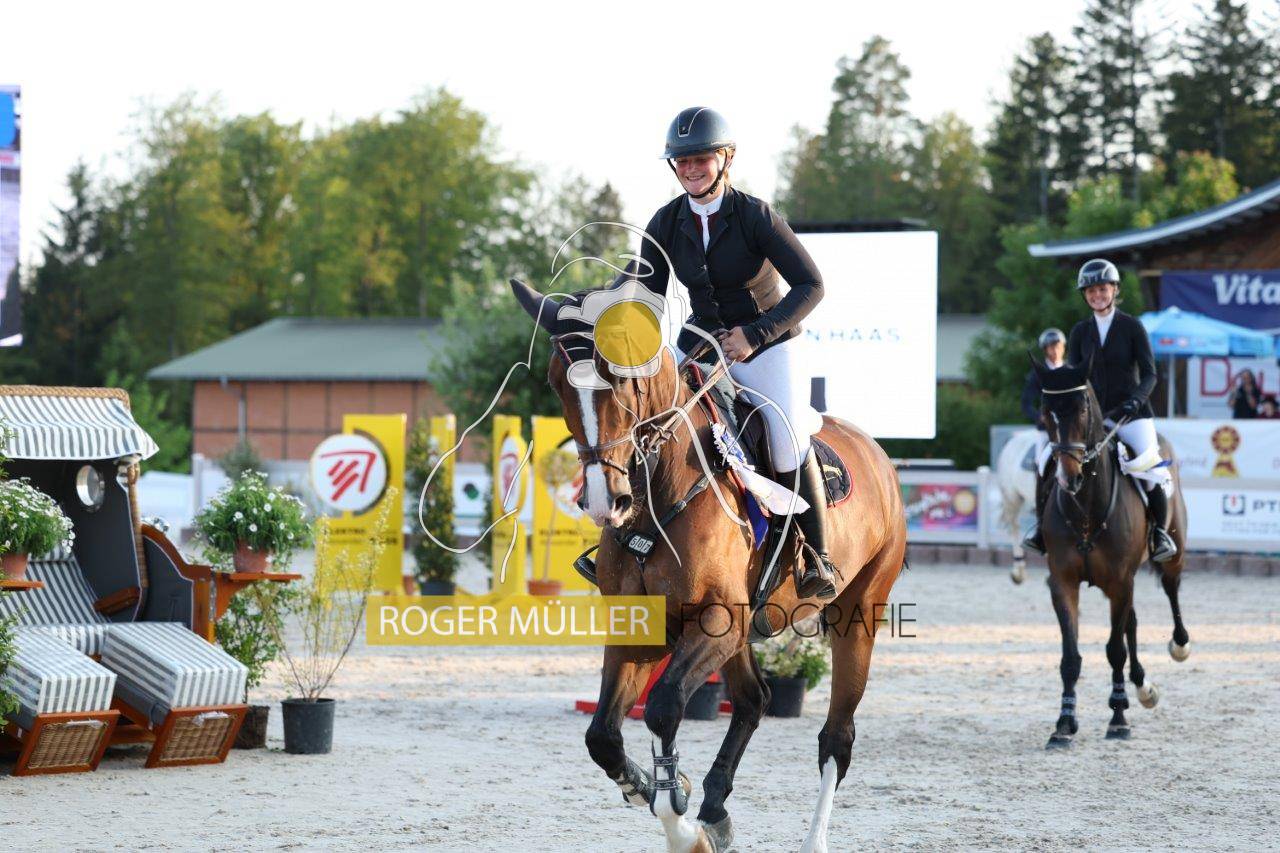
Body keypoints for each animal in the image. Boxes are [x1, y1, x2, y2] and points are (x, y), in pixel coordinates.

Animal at [512, 278, 908, 853]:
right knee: (753, 700)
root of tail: (876, 453)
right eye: (555, 382)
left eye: (621, 379)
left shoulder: (717, 619)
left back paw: (808, 837)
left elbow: (664, 706)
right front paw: (654, 787)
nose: (606, 500)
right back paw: (716, 809)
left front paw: (679, 821)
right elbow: (603, 735)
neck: (660, 492)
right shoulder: (648, 625)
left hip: (856, 615)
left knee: (836, 737)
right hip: (742, 631)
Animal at [1033, 360, 1192, 749]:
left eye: (1082, 409)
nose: (1069, 479)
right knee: (1131, 623)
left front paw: (1118, 719)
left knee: (1171, 590)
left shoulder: (1120, 582)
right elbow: (1070, 657)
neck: (1086, 509)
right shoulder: (1063, 582)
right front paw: (1064, 723)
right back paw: (1142, 686)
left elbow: (1114, 650)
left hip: (1168, 557)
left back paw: (1179, 646)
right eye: (1045, 412)